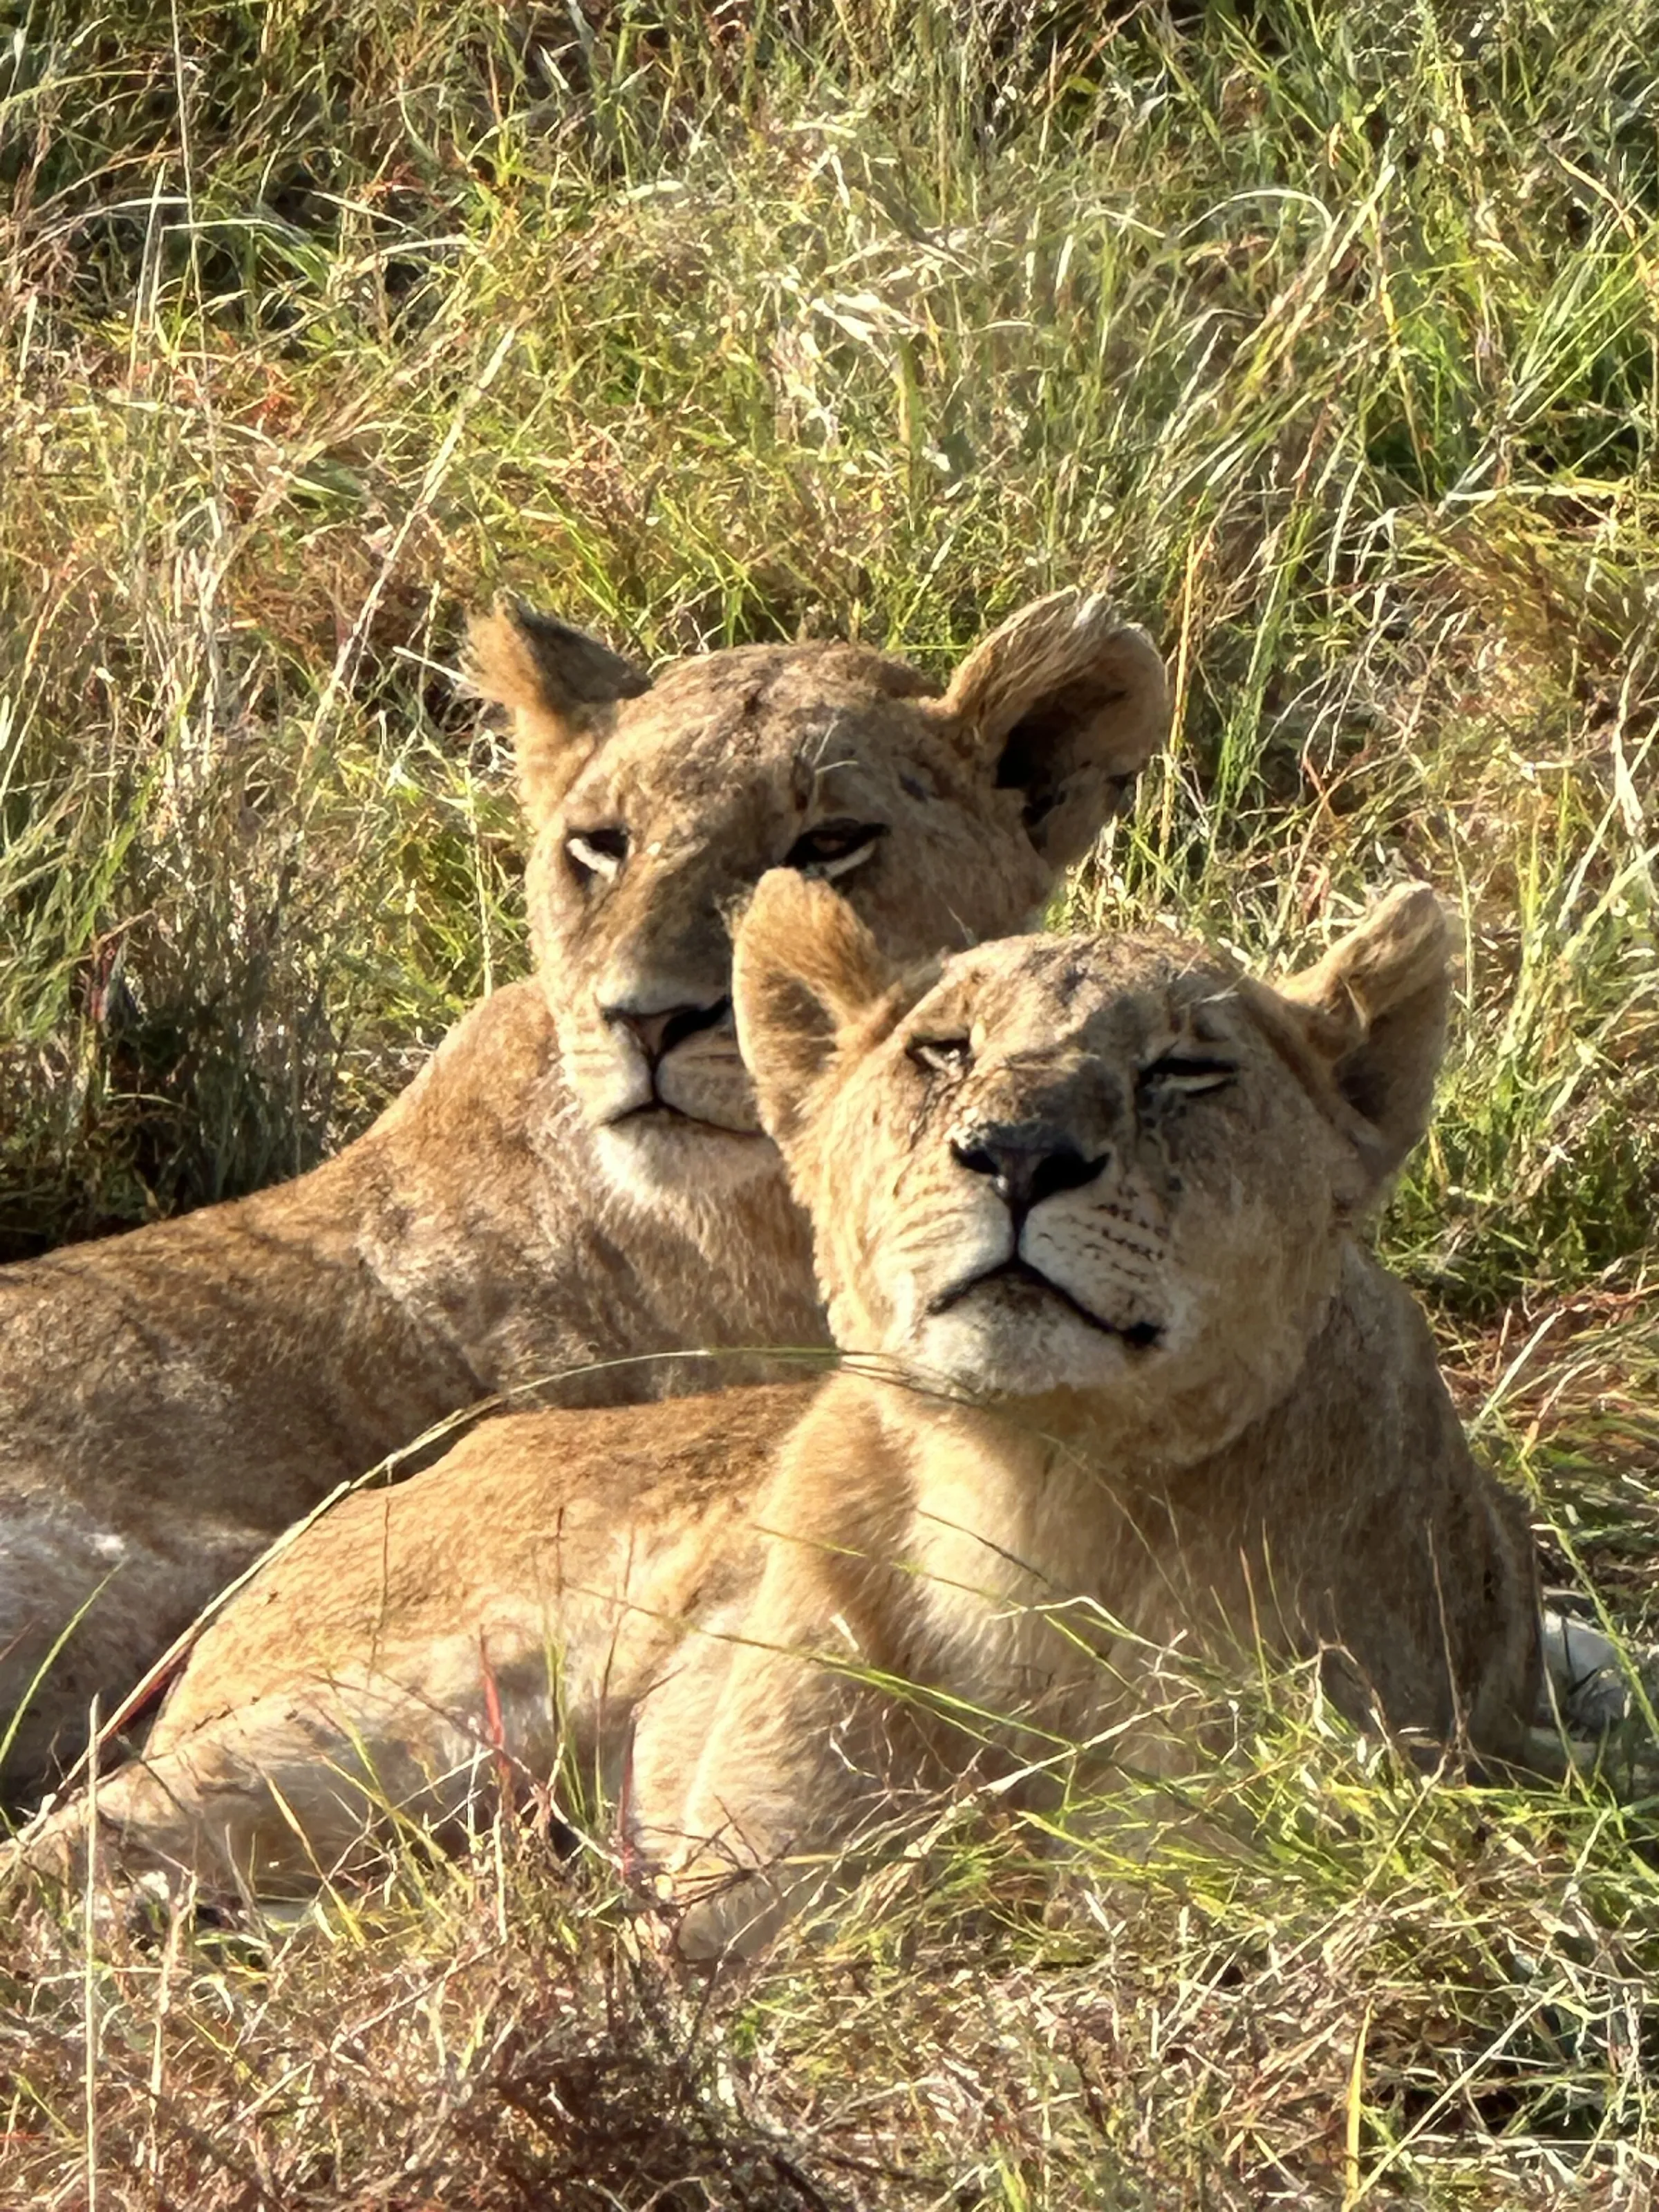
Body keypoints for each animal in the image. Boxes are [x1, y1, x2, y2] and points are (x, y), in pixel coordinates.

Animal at [18, 872, 1546, 1956]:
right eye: (942, 1053)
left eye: (1184, 1070)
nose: (1018, 1154)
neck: (1035, 1499)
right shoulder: (749, 1905)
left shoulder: (1232, 1881)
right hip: (422, 1706)